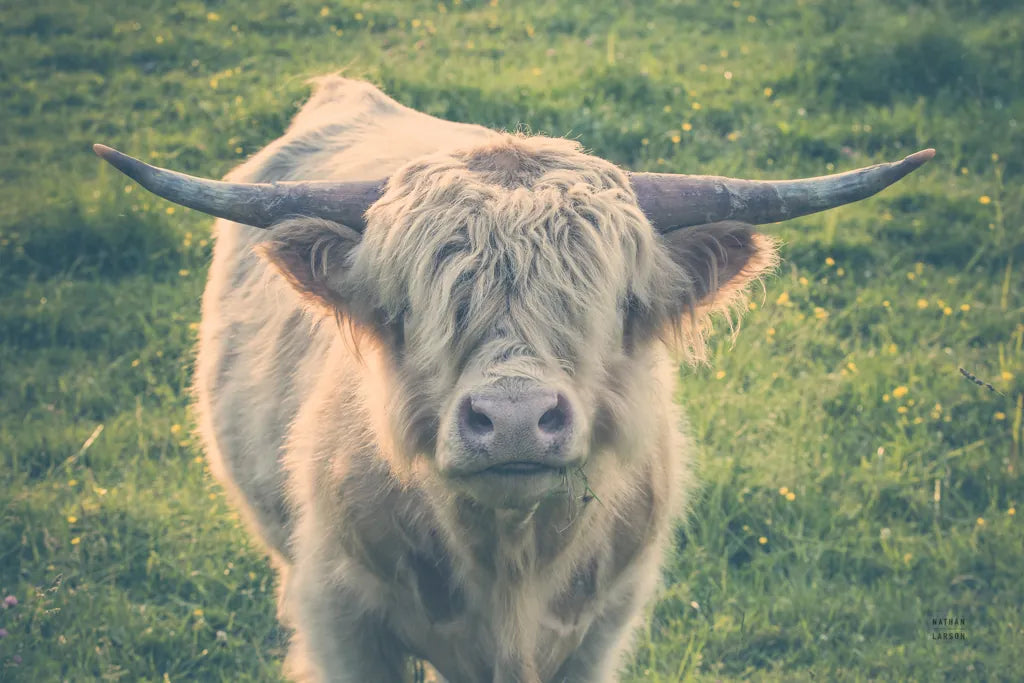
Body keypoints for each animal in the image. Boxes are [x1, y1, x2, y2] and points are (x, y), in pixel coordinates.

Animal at [94, 76, 932, 682]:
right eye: (409, 307)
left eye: (617, 303)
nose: (516, 419)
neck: (509, 565)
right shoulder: (341, 620)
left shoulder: (601, 630)